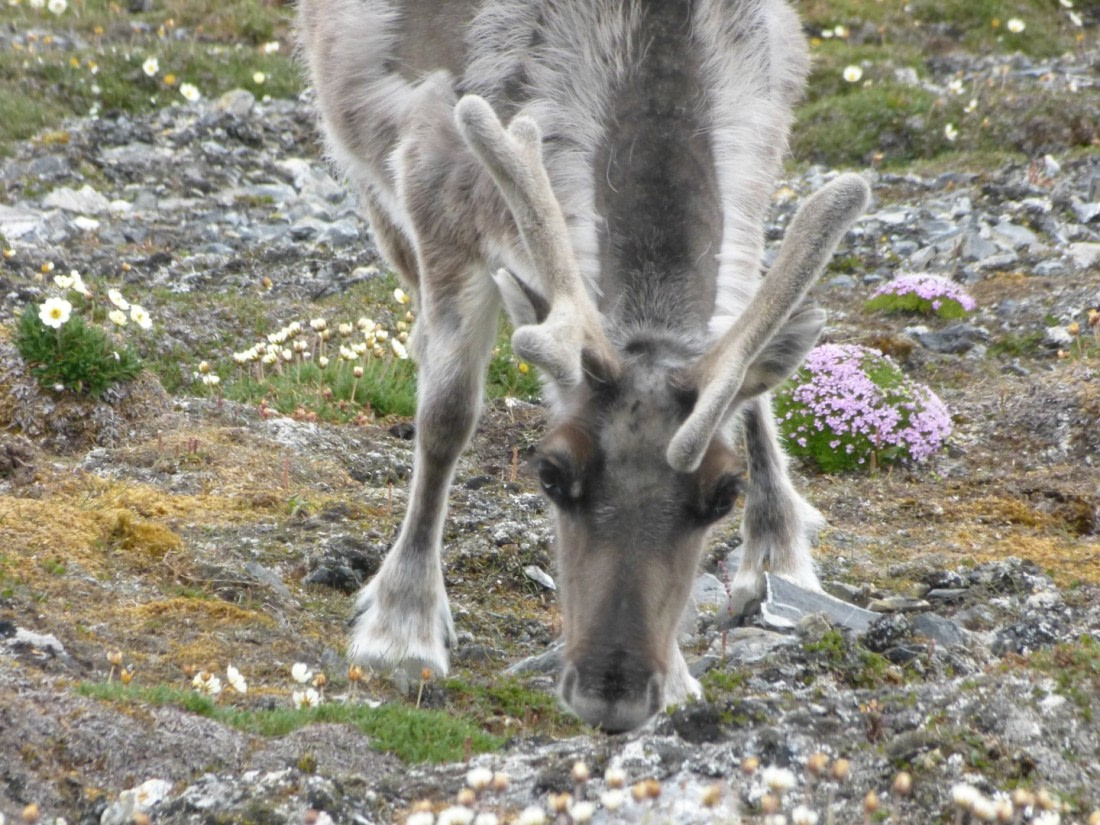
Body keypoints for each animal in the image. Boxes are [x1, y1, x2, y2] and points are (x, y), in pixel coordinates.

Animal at [298, 0, 870, 732]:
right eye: (549, 472)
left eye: (723, 494)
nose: (612, 692)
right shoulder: (436, 189)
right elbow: (446, 414)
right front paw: (402, 630)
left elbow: (749, 379)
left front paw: (759, 576)